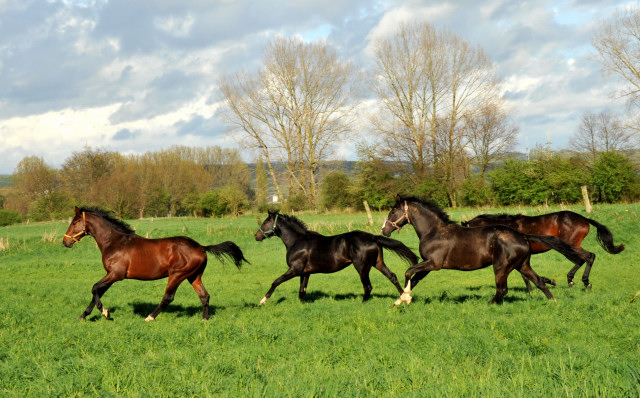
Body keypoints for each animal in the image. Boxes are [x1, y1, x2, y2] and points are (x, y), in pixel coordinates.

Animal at [62, 207, 248, 322]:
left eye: (74, 223)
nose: (65, 242)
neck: (114, 242)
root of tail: (201, 247)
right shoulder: (111, 275)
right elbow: (97, 292)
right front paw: (83, 316)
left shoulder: (115, 275)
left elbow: (94, 288)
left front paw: (106, 313)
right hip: (194, 276)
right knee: (204, 296)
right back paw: (204, 320)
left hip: (177, 275)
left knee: (168, 297)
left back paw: (149, 317)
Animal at [255, 211, 420, 304]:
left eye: (266, 221)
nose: (256, 236)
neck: (297, 241)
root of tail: (373, 237)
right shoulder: (305, 273)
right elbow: (302, 290)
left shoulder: (295, 269)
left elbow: (276, 281)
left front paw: (263, 301)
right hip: (378, 263)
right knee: (392, 276)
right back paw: (405, 298)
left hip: (362, 267)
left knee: (368, 286)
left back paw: (363, 303)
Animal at [380, 195, 584, 304]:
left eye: (393, 212)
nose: (384, 230)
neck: (433, 231)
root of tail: (523, 236)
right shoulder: (428, 266)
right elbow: (414, 279)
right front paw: (400, 300)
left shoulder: (433, 264)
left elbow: (408, 272)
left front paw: (404, 299)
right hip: (523, 265)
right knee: (539, 282)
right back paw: (553, 301)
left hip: (501, 267)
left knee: (502, 289)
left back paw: (489, 304)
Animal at [462, 210, 624, 288]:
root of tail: (584, 219)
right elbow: (525, 275)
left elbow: (525, 275)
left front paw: (542, 284)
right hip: (569, 246)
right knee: (581, 259)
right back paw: (571, 280)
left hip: (571, 244)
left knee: (588, 257)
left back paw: (585, 282)